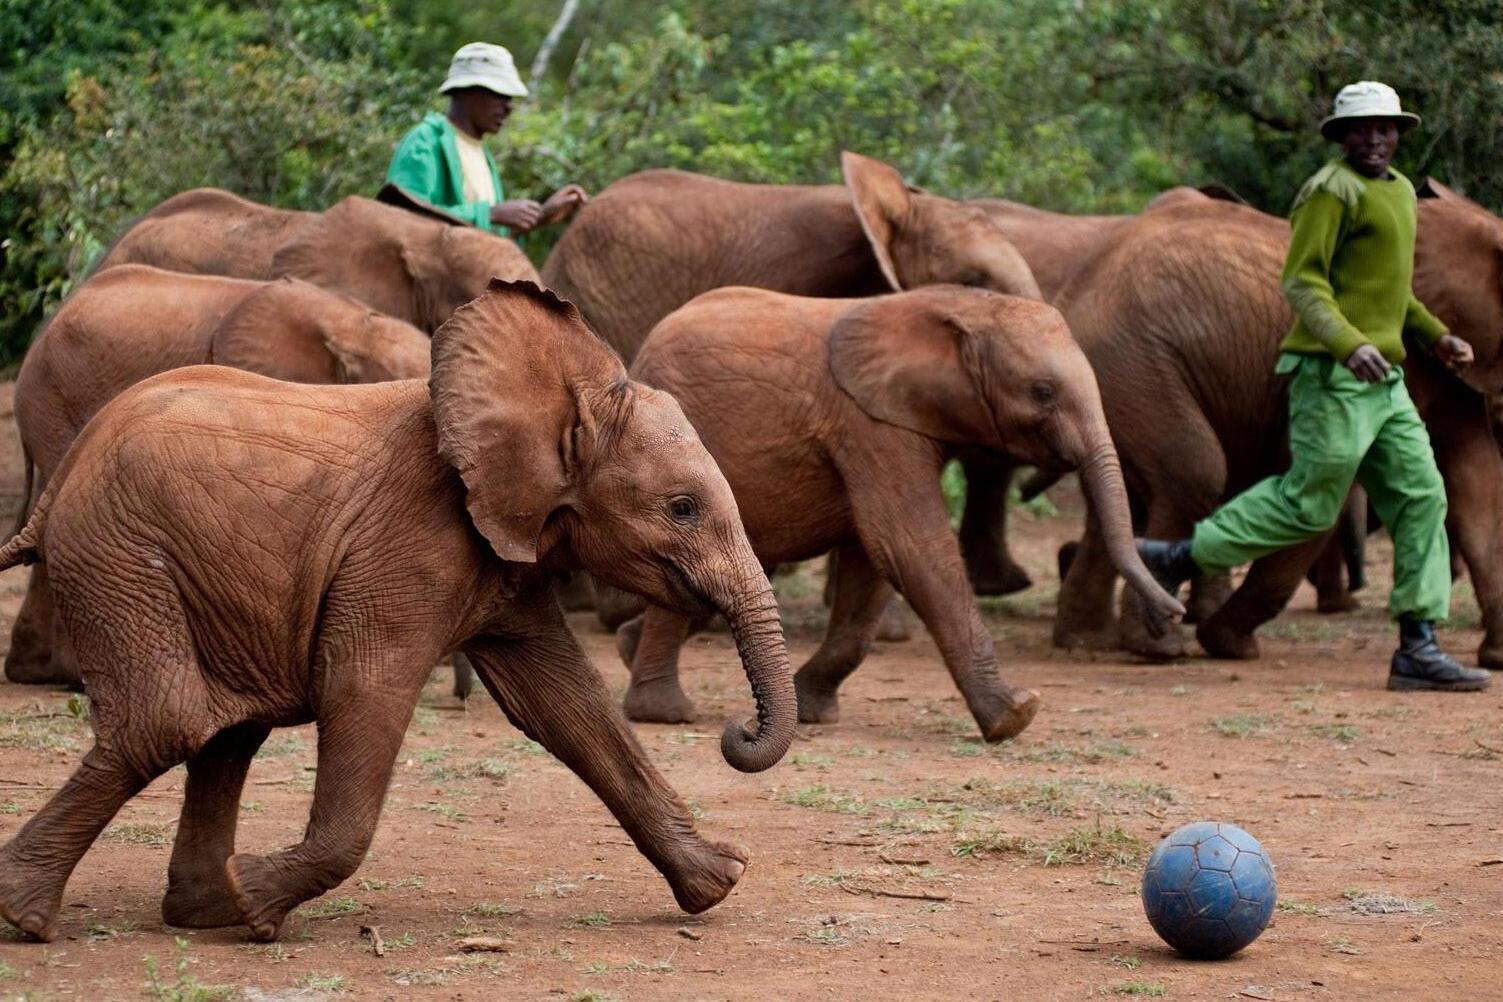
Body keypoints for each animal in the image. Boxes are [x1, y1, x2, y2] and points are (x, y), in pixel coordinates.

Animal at [614, 284, 1184, 739]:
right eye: (1041, 392)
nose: (1173, 615)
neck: (960, 307)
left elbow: (871, 566)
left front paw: (814, 713)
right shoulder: (872, 426)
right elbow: (909, 547)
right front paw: (1015, 716)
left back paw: (626, 649)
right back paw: (664, 713)